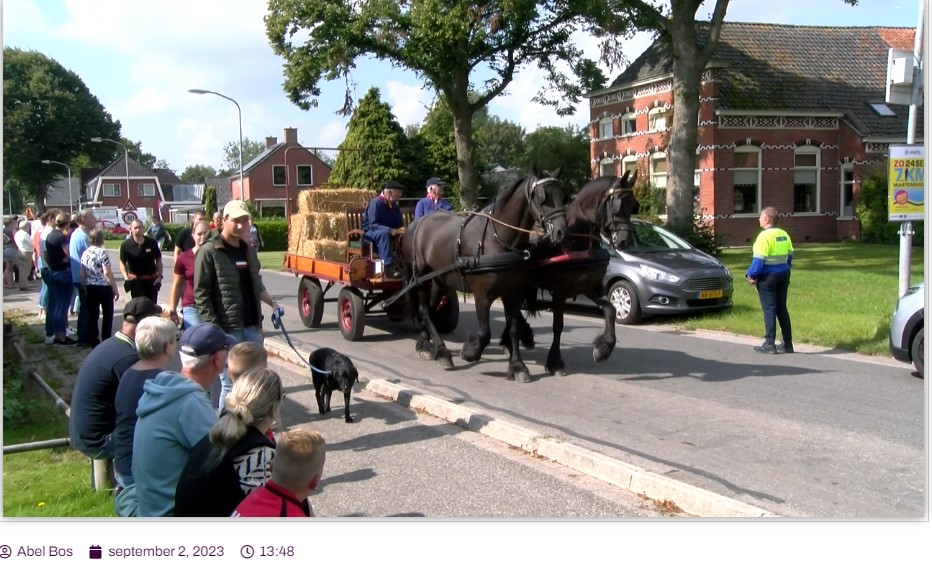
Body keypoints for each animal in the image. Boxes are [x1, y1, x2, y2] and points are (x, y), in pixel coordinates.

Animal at [398, 165, 568, 382]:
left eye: (562, 195)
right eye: (541, 196)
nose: (561, 232)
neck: (498, 238)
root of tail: (414, 224)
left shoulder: (513, 292)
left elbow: (514, 328)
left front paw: (518, 366)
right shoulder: (482, 295)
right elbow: (485, 332)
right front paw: (470, 351)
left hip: (438, 280)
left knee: (429, 308)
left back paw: (426, 344)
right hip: (421, 278)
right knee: (424, 311)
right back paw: (442, 352)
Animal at [502, 171, 640, 374]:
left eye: (632, 205)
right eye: (618, 204)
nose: (625, 241)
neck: (577, 240)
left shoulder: (591, 288)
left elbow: (611, 310)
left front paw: (603, 349)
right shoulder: (560, 292)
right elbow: (558, 325)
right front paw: (555, 361)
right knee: (511, 311)